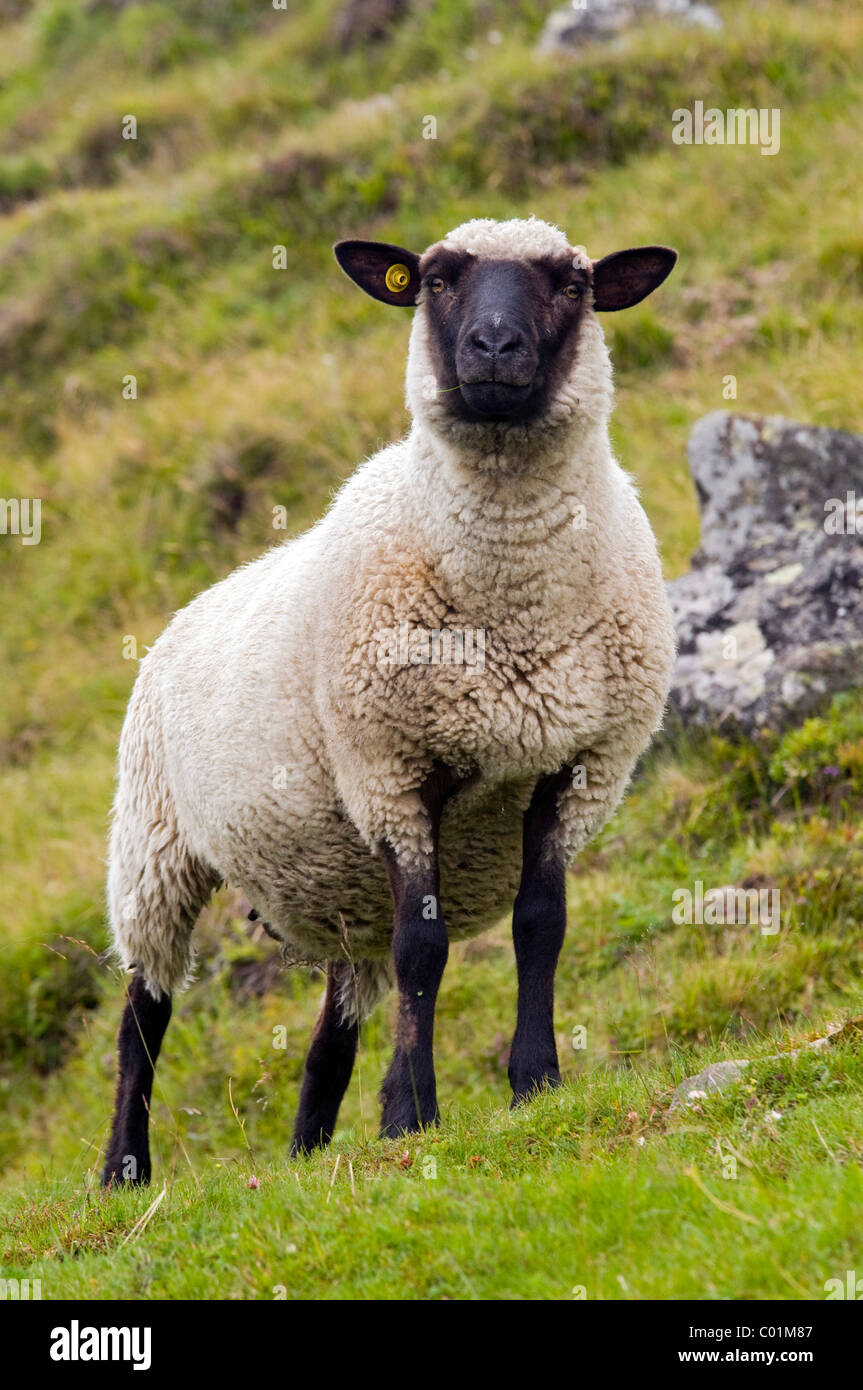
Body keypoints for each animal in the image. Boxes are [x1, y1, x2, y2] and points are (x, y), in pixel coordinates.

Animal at [100, 214, 675, 1184]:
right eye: (435, 280)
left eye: (572, 284)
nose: (493, 347)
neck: (511, 600)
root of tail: (181, 616)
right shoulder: (394, 776)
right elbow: (425, 951)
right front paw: (413, 1117)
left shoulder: (570, 770)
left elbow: (540, 926)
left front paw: (534, 1085)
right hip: (154, 843)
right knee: (144, 1010)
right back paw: (120, 1173)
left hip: (338, 889)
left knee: (327, 1040)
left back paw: (306, 1155)